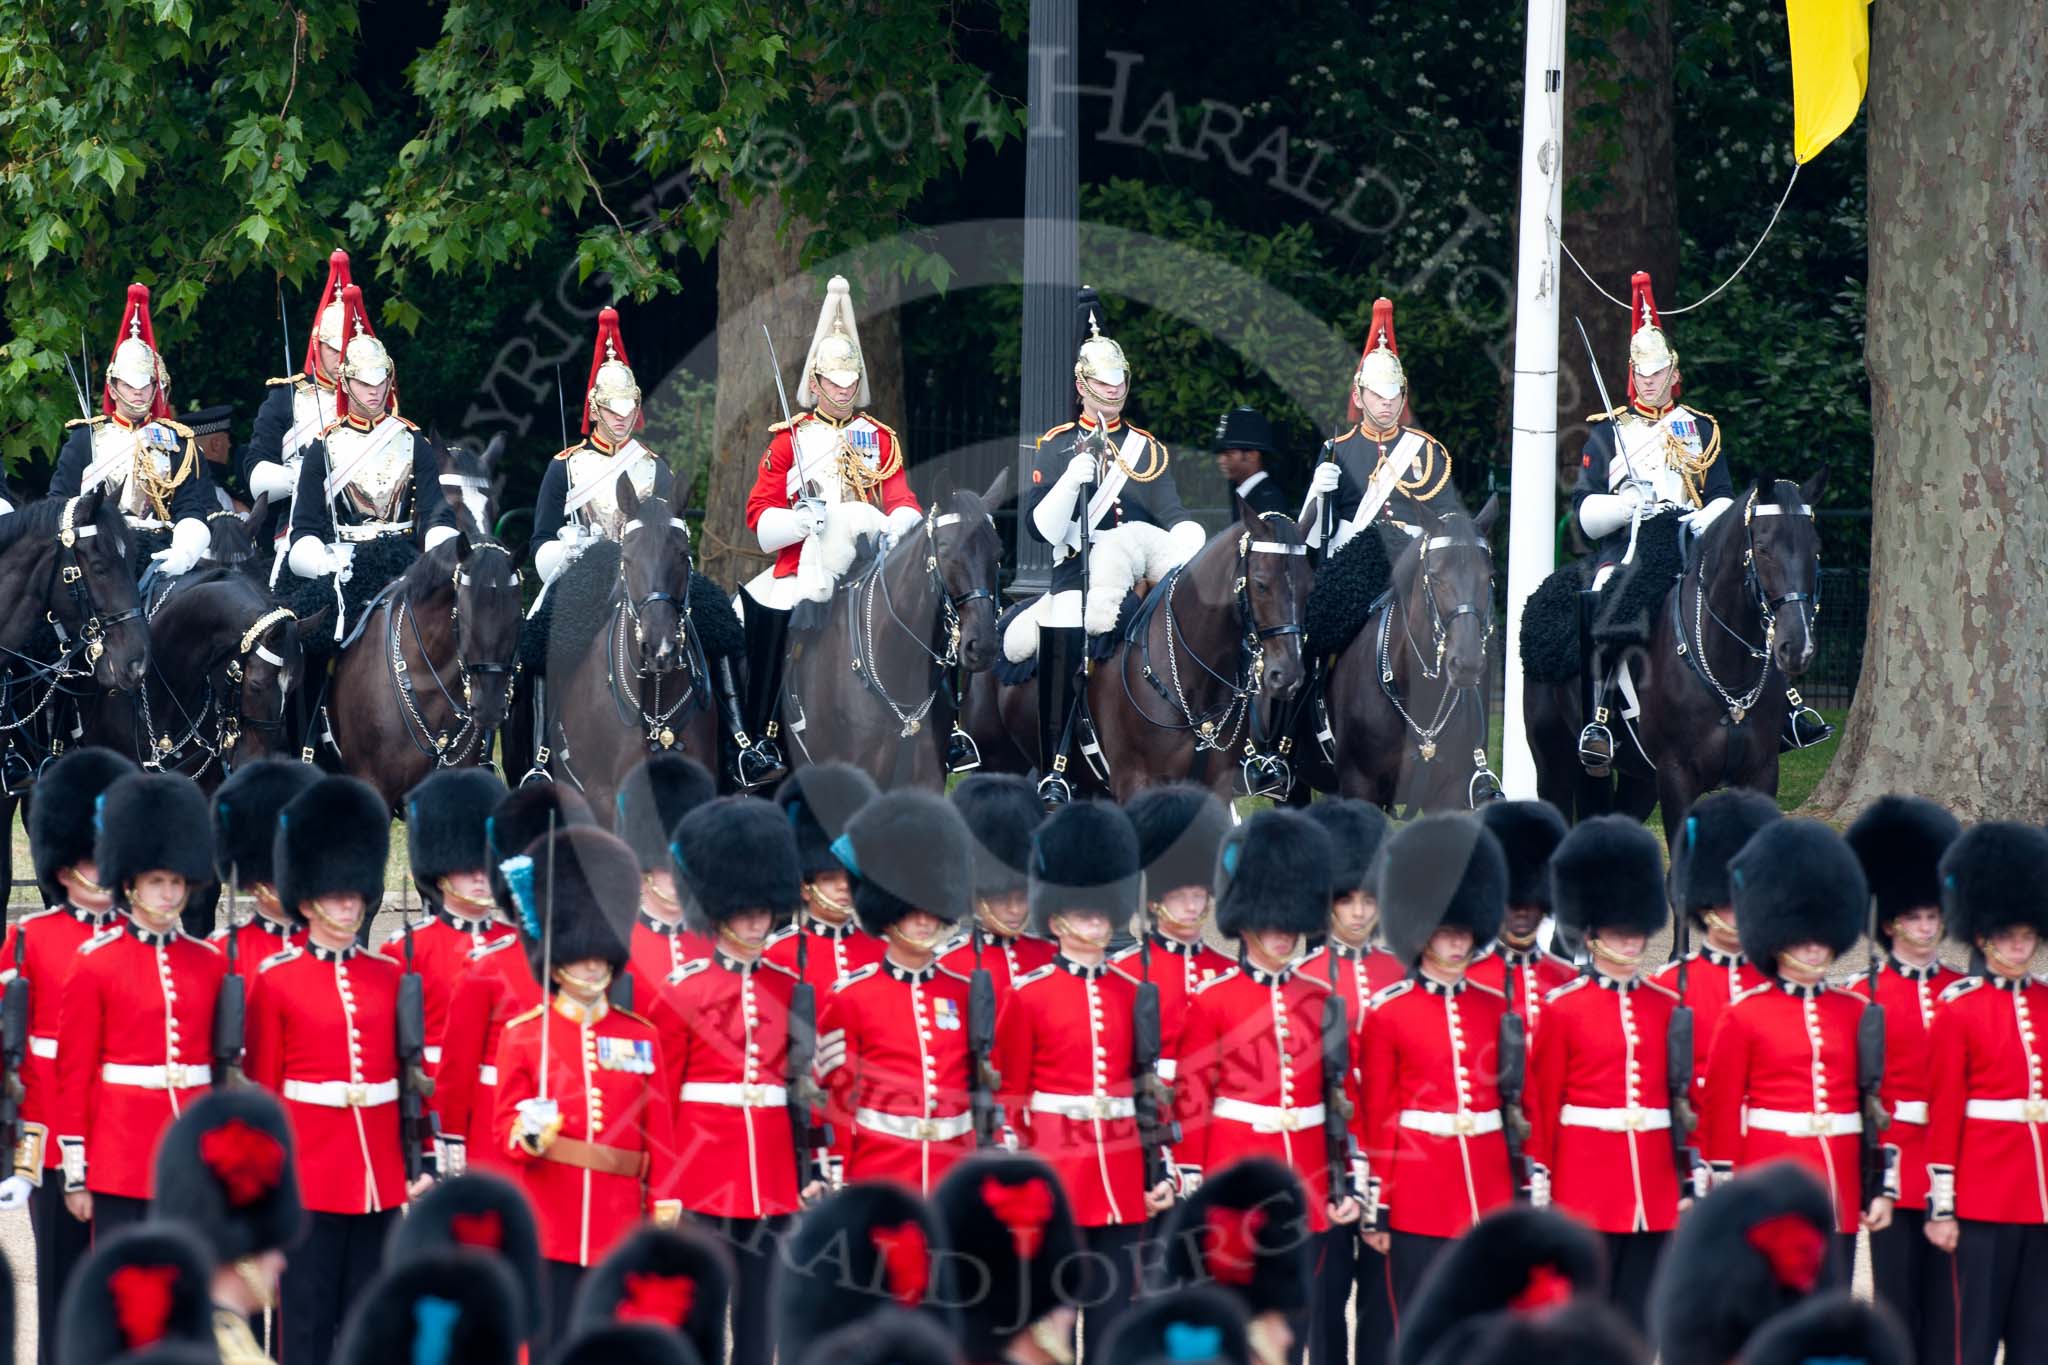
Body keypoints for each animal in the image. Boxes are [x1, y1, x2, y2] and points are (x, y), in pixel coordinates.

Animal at [1523, 478, 1826, 843]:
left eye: (1815, 548)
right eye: (1764, 547)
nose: (1797, 647)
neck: (1727, 671)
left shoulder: (1762, 773)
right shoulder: (1676, 775)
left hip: (1637, 780)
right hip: (1552, 762)